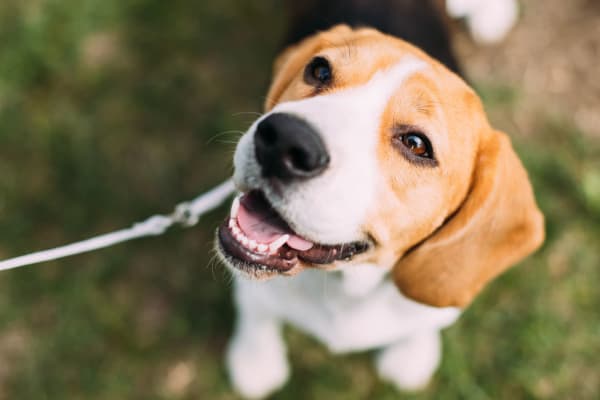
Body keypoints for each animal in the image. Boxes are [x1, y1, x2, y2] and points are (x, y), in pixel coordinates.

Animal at [214, 2, 540, 396]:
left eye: (416, 144)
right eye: (319, 69)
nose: (282, 141)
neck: (347, 288)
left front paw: (412, 354)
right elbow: (257, 310)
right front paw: (256, 359)